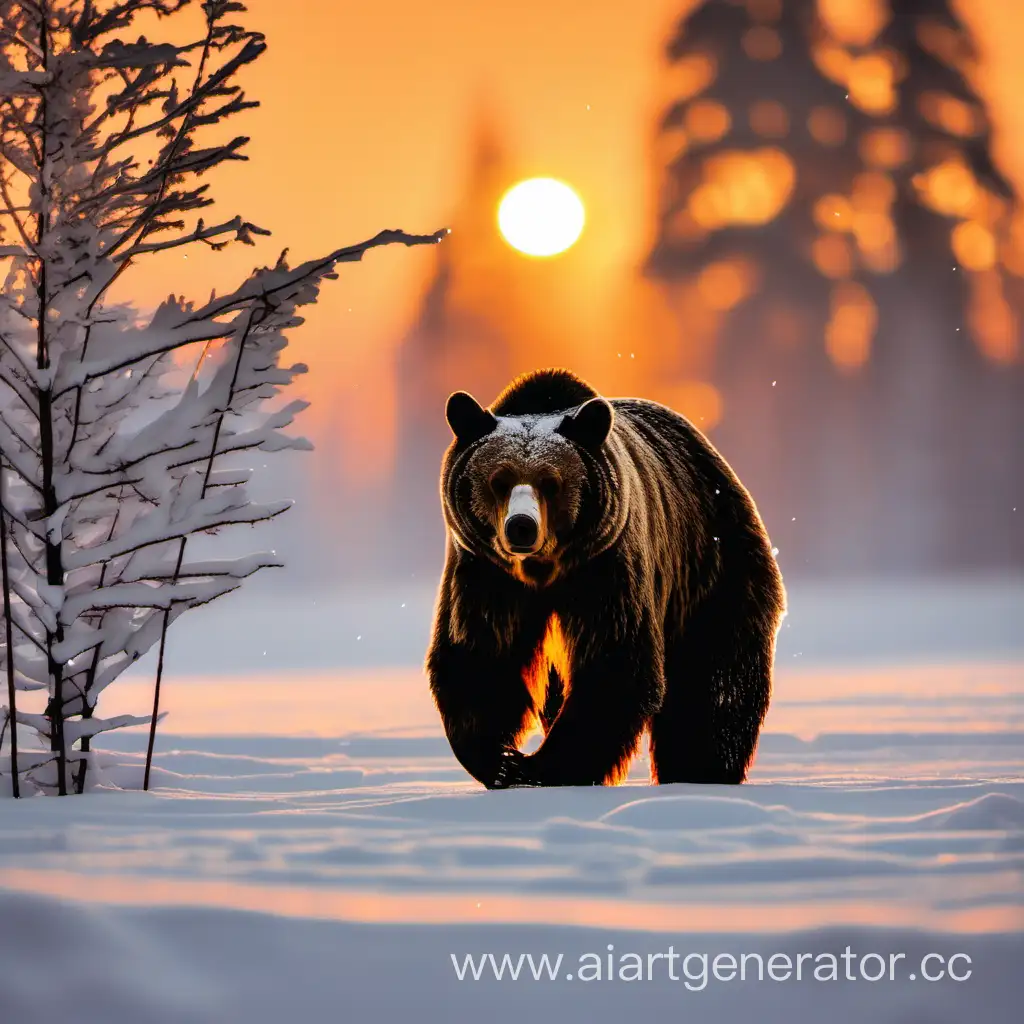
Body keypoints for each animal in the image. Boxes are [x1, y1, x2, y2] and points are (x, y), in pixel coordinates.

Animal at [423, 370, 782, 790]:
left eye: (551, 482)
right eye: (498, 480)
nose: (521, 527)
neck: (544, 572)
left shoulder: (605, 568)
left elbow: (614, 664)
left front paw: (547, 768)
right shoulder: (487, 576)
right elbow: (478, 658)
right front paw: (502, 761)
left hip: (712, 565)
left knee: (713, 684)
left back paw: (700, 772)